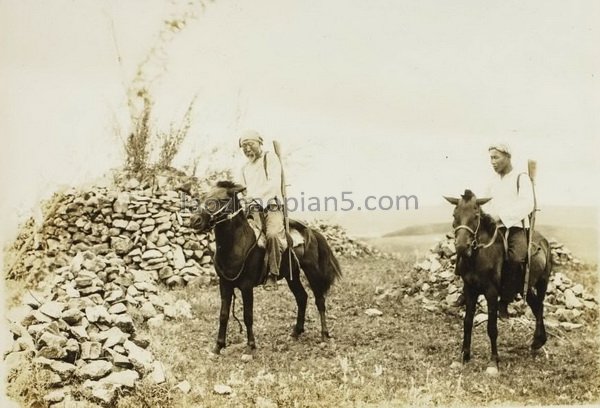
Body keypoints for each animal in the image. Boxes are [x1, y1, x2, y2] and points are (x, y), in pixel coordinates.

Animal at [192, 181, 342, 354]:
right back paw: (296, 332)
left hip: (312, 272)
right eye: (204, 197)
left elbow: (248, 316)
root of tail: (312, 232)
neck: (238, 244)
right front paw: (218, 346)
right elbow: (223, 315)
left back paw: (324, 334)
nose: (194, 220)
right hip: (292, 275)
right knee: (302, 298)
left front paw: (251, 345)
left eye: (222, 199)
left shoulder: (246, 286)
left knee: (320, 300)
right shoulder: (225, 284)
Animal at [442, 190, 552, 372]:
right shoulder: (470, 290)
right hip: (525, 287)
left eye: (476, 216)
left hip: (543, 281)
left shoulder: (491, 292)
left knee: (540, 306)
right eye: (454, 215)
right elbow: (467, 322)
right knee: (536, 306)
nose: (462, 247)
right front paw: (464, 356)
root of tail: (543, 240)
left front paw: (493, 361)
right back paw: (538, 341)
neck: (480, 256)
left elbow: (492, 328)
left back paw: (537, 339)